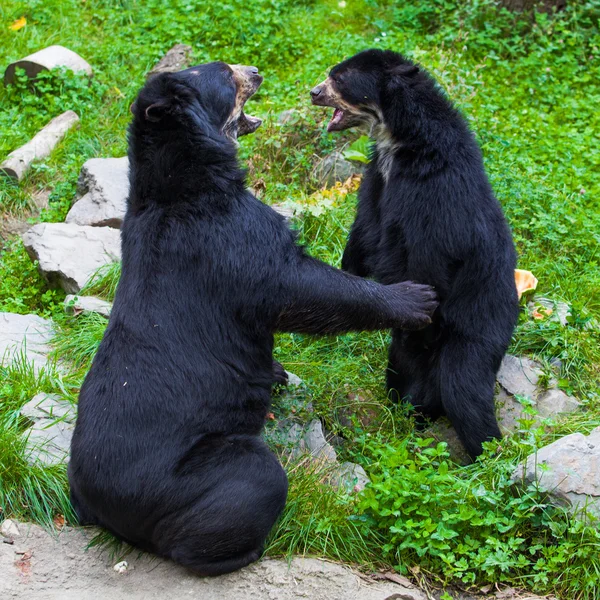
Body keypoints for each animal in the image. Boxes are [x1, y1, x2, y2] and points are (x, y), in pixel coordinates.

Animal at [69, 61, 436, 576]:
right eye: (226, 75)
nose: (256, 71)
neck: (185, 184)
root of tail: (104, 510)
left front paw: (278, 370)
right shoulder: (232, 240)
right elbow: (299, 285)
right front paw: (415, 299)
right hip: (197, 472)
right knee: (249, 486)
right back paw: (250, 548)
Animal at [312, 49, 516, 458]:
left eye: (338, 79)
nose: (313, 92)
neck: (398, 141)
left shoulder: (434, 194)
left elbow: (429, 258)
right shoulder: (377, 176)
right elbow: (365, 229)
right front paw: (349, 283)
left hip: (480, 324)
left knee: (464, 387)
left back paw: (485, 456)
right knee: (404, 373)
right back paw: (409, 410)